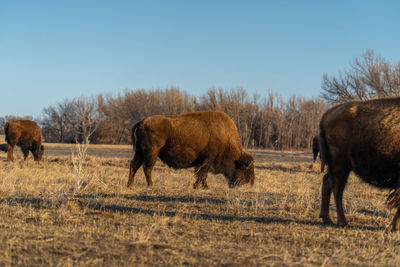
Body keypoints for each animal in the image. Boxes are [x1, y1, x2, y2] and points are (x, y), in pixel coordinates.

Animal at [126, 112, 255, 189]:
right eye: (245, 170)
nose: (248, 183)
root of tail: (142, 122)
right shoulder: (208, 159)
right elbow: (202, 173)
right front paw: (197, 186)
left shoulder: (205, 161)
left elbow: (203, 174)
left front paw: (205, 187)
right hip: (152, 152)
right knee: (147, 167)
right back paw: (151, 185)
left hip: (140, 152)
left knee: (134, 165)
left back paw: (130, 185)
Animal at [318, 97, 400, 231]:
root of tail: (326, 115)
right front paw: (394, 227)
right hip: (340, 165)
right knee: (337, 189)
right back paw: (342, 222)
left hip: (337, 166)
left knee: (327, 182)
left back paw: (327, 219)